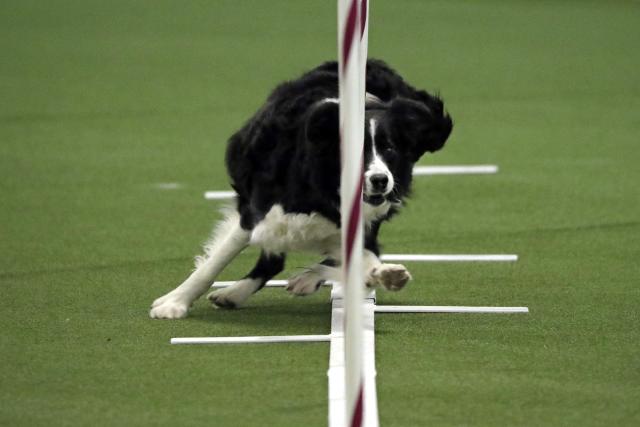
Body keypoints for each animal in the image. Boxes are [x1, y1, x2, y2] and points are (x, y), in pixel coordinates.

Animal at [151, 59, 452, 318]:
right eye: (358, 151)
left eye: (390, 149)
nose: (380, 180)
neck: (322, 188)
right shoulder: (258, 213)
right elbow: (214, 263)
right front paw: (174, 303)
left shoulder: (359, 221)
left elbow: (365, 256)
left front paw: (384, 274)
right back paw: (234, 293)